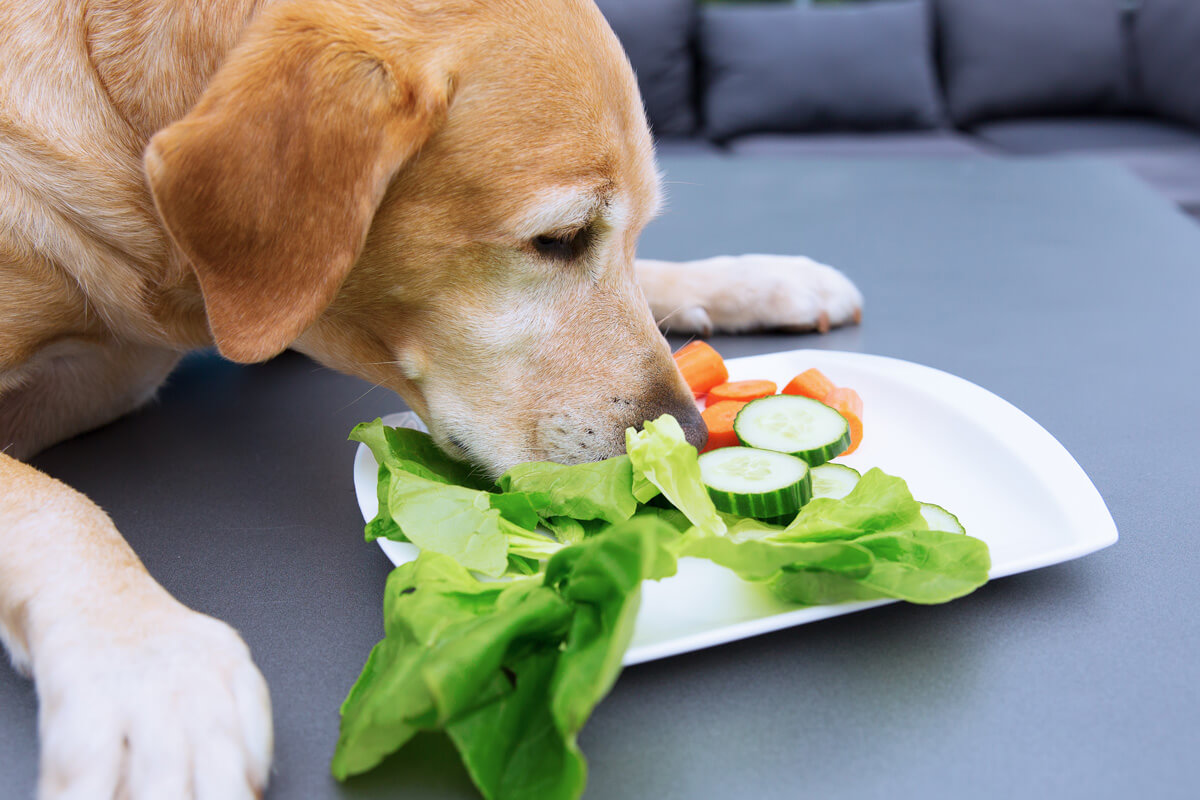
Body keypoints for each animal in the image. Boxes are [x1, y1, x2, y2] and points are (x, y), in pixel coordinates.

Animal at [0, 0, 864, 796]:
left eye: (630, 231)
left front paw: (752, 278)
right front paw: (148, 669)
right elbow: (54, 504)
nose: (689, 436)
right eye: (558, 239)